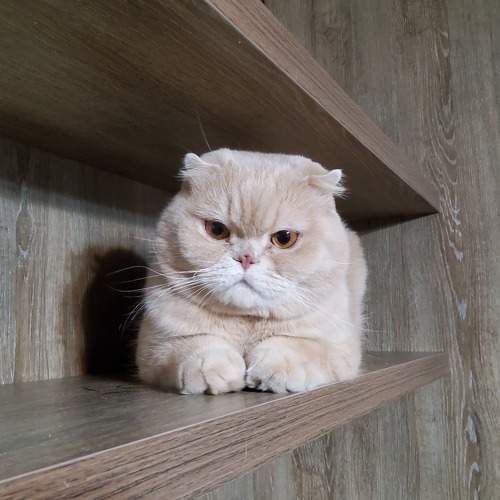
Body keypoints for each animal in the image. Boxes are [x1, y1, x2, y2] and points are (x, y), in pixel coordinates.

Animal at [136, 149, 367, 394]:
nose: (246, 258)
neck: (247, 323)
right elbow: (192, 345)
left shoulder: (341, 349)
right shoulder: (154, 347)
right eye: (216, 229)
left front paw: (274, 369)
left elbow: (300, 348)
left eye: (284, 238)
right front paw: (213, 367)